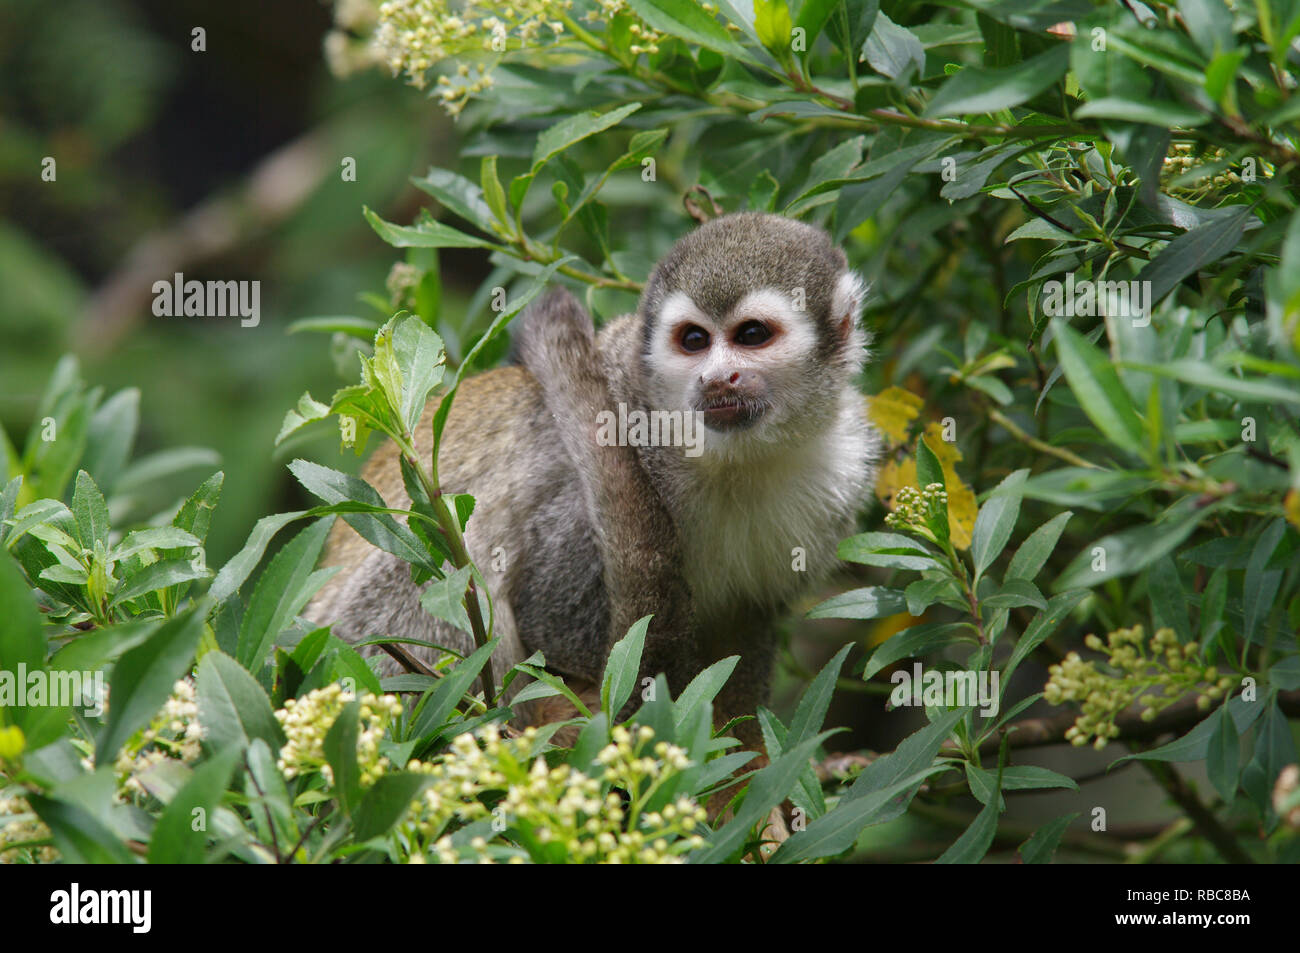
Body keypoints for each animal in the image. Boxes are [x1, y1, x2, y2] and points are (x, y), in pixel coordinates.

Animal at [306, 211, 873, 738]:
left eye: (752, 335)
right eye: (694, 340)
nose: (717, 378)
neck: (736, 458)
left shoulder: (839, 480)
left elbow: (742, 633)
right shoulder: (615, 449)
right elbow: (554, 621)